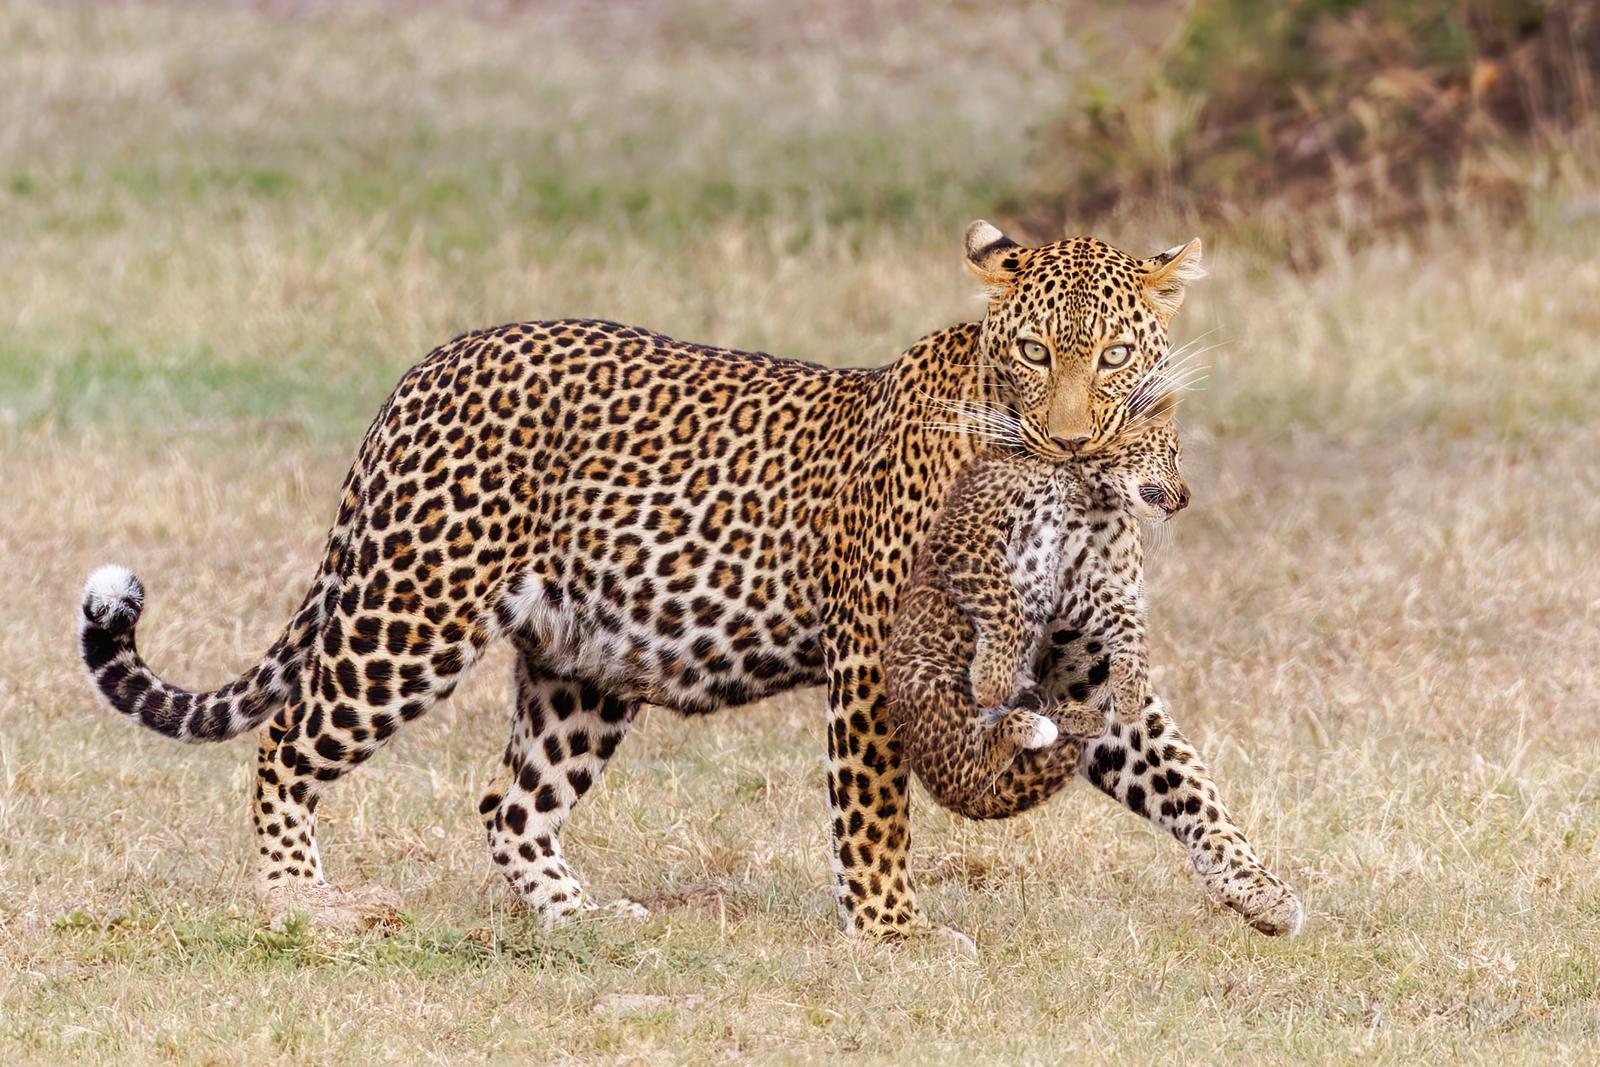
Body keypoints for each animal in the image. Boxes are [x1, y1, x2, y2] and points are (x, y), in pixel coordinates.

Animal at [883, 409, 1188, 822]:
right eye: (1171, 454)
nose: (1187, 498)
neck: (1069, 474)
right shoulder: (966, 534)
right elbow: (1004, 604)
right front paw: (991, 679)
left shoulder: (1070, 570)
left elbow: (1122, 614)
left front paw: (1131, 684)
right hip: (933, 690)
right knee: (975, 769)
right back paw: (1028, 721)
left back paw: (1075, 716)